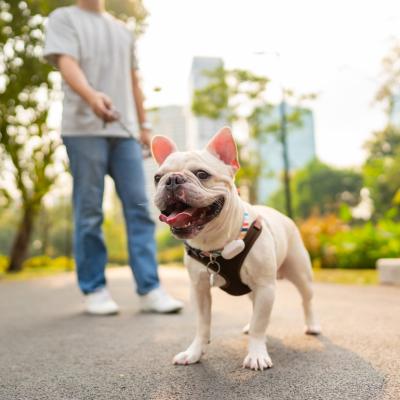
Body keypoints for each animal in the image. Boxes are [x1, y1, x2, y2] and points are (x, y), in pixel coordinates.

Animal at [152, 126, 320, 370]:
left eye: (202, 174)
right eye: (157, 178)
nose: (172, 179)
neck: (214, 244)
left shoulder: (266, 286)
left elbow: (260, 324)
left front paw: (257, 354)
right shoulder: (199, 289)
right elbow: (202, 325)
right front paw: (194, 352)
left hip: (299, 273)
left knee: (306, 299)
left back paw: (312, 325)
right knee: (254, 306)